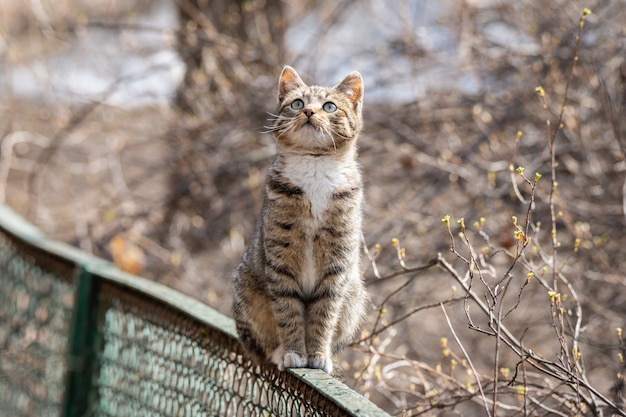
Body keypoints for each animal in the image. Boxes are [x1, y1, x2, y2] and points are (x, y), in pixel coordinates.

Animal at [230, 66, 366, 374]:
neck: (315, 166)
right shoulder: (280, 260)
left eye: (329, 106)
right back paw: (278, 351)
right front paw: (293, 352)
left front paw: (318, 355)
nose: (309, 112)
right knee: (261, 345)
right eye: (297, 103)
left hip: (354, 296)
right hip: (246, 291)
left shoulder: (337, 264)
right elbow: (287, 310)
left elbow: (324, 313)